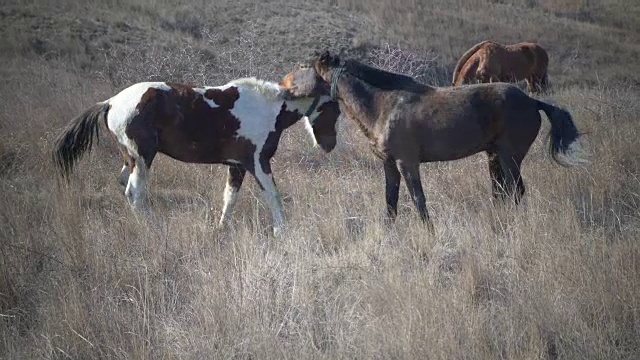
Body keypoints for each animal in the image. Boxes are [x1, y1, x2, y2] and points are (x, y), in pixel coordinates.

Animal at [53, 77, 342, 235]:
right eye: (335, 110)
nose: (329, 145)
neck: (267, 108)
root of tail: (111, 102)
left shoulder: (237, 166)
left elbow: (230, 198)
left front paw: (221, 228)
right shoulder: (258, 163)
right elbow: (273, 195)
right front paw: (281, 230)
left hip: (131, 158)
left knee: (124, 185)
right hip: (143, 157)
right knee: (134, 193)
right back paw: (154, 228)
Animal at [282, 50, 592, 232]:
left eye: (304, 68)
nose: (284, 85)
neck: (384, 103)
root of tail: (532, 102)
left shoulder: (407, 163)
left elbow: (418, 199)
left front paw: (428, 232)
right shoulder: (389, 165)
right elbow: (391, 201)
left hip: (509, 158)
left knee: (516, 192)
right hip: (494, 157)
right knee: (502, 193)